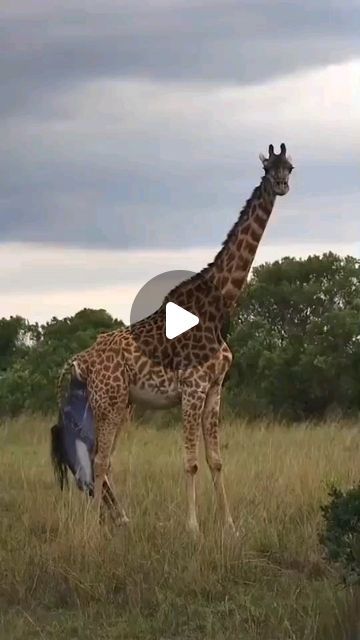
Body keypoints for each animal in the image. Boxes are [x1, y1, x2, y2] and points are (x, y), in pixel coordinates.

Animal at [55, 144, 292, 536]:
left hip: (121, 405)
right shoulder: (193, 387)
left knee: (103, 459)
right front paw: (193, 528)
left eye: (290, 166)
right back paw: (96, 529)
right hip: (109, 401)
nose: (282, 184)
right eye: (268, 168)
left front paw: (230, 526)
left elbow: (216, 460)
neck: (219, 305)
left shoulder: (214, 388)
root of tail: (80, 361)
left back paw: (120, 519)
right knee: (99, 460)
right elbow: (191, 462)